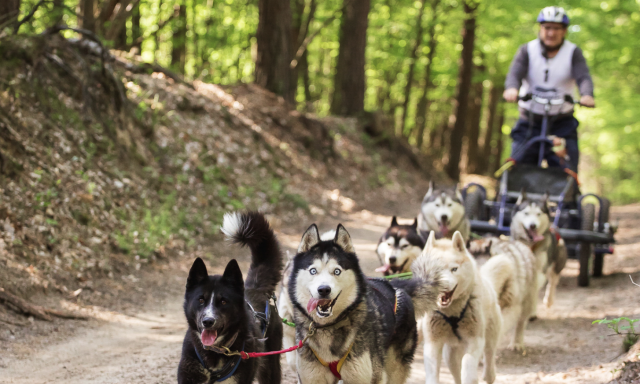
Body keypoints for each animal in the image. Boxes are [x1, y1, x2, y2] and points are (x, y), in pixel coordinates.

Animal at [178, 212, 282, 382]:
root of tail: (255, 288)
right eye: (201, 300)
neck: (214, 352)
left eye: (223, 301)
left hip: (271, 367)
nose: (208, 321)